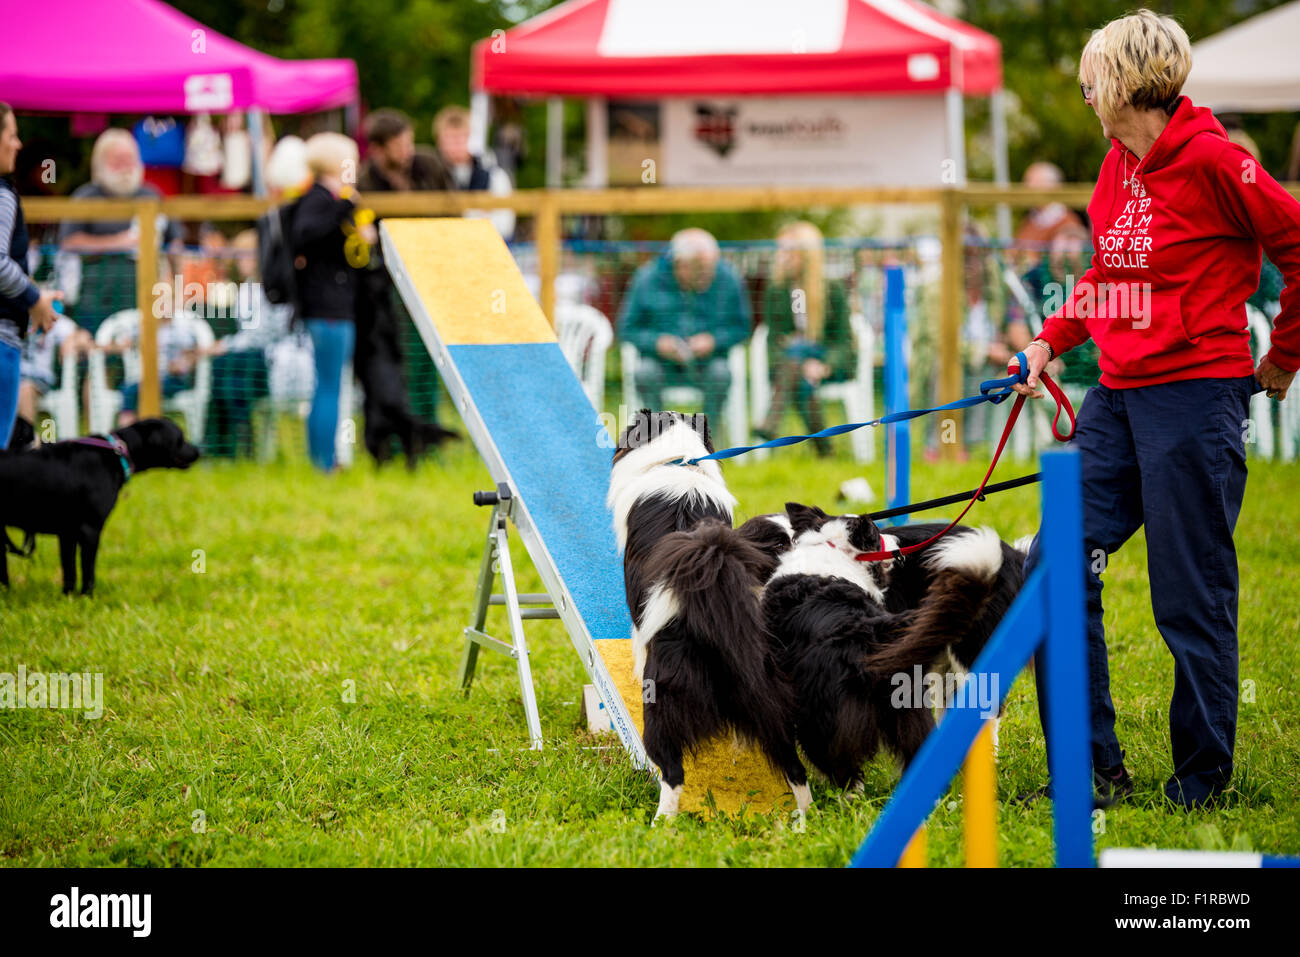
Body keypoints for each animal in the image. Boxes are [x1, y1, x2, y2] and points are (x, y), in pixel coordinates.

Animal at [605, 408, 806, 816]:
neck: (678, 460)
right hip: (772, 705)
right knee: (795, 768)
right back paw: (806, 816)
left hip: (661, 711)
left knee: (671, 773)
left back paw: (660, 821)